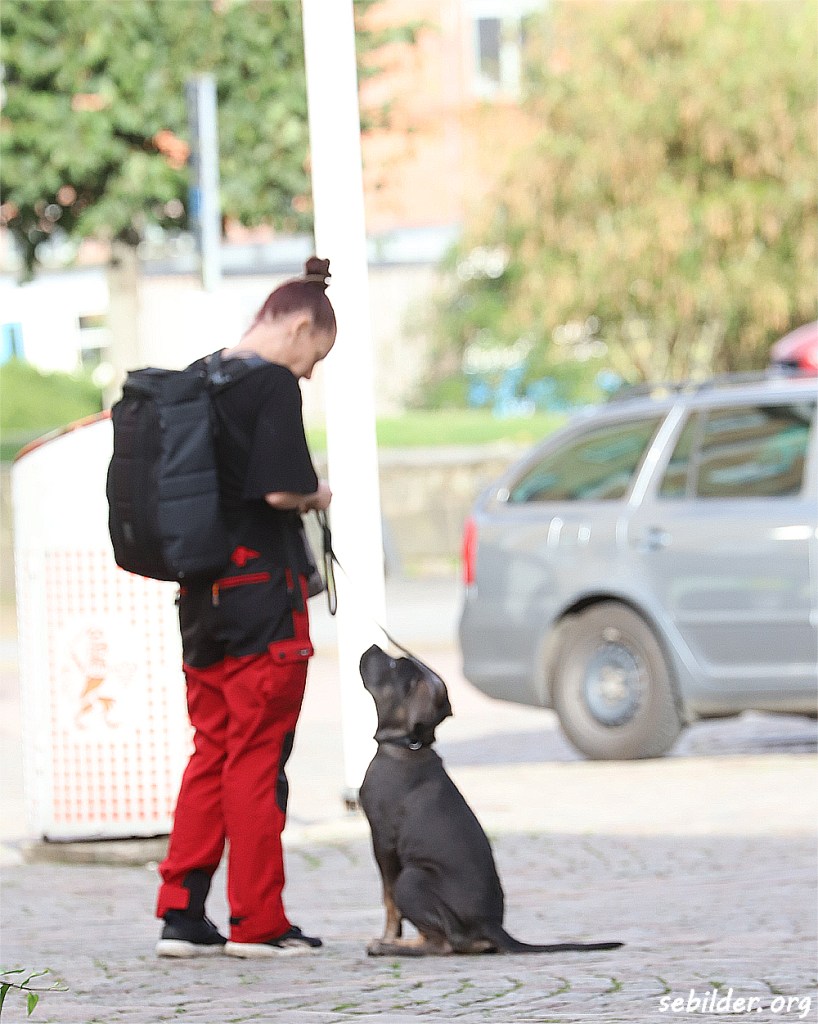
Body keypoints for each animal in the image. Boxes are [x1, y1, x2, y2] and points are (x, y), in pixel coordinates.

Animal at [358, 644, 623, 957]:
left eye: (394, 665)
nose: (373, 646)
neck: (406, 746)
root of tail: (491, 925)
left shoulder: (383, 840)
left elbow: (388, 900)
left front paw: (387, 937)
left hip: (412, 879)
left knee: (442, 942)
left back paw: (390, 947)